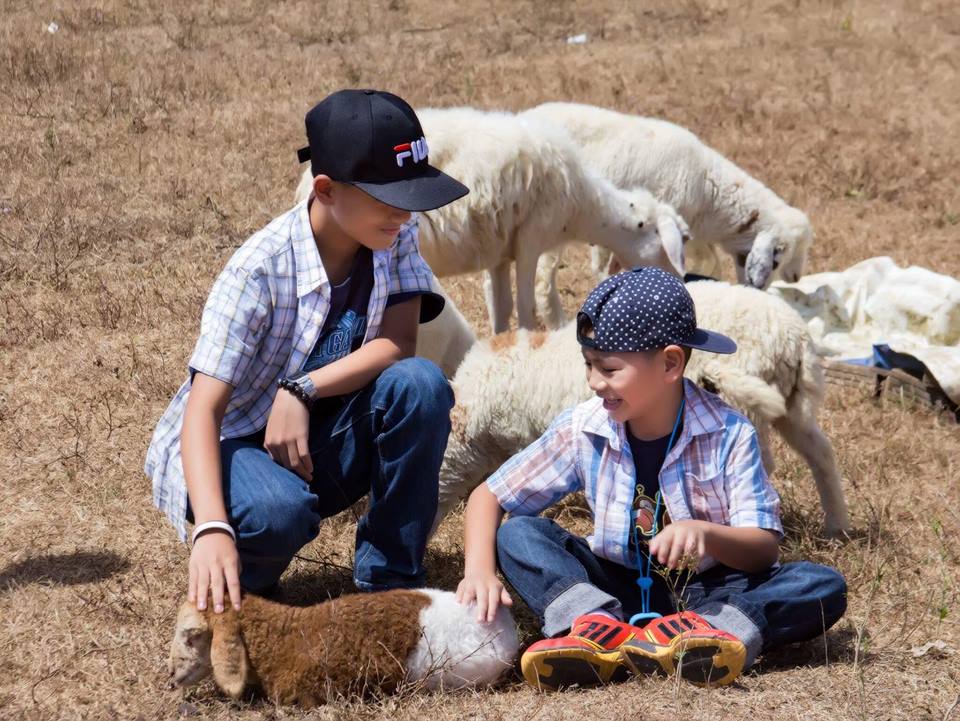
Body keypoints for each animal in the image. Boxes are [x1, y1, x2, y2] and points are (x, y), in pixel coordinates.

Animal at [296, 105, 688, 334]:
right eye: (671, 244)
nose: (681, 289)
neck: (581, 205)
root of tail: (306, 186)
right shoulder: (531, 240)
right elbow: (526, 308)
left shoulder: (500, 253)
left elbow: (502, 308)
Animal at [524, 102, 816, 324]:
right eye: (777, 258)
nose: (795, 277)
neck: (710, 192)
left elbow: (710, 263)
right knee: (542, 275)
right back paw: (555, 320)